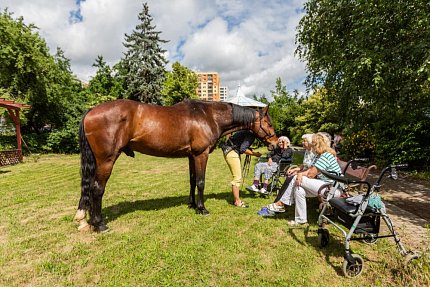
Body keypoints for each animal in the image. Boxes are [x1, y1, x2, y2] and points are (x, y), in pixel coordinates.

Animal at [74, 100, 278, 233]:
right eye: (268, 123)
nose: (275, 144)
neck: (208, 116)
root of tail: (91, 111)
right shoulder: (201, 154)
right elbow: (201, 182)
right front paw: (202, 209)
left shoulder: (191, 156)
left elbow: (193, 180)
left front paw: (192, 204)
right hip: (106, 161)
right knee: (97, 189)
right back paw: (99, 224)